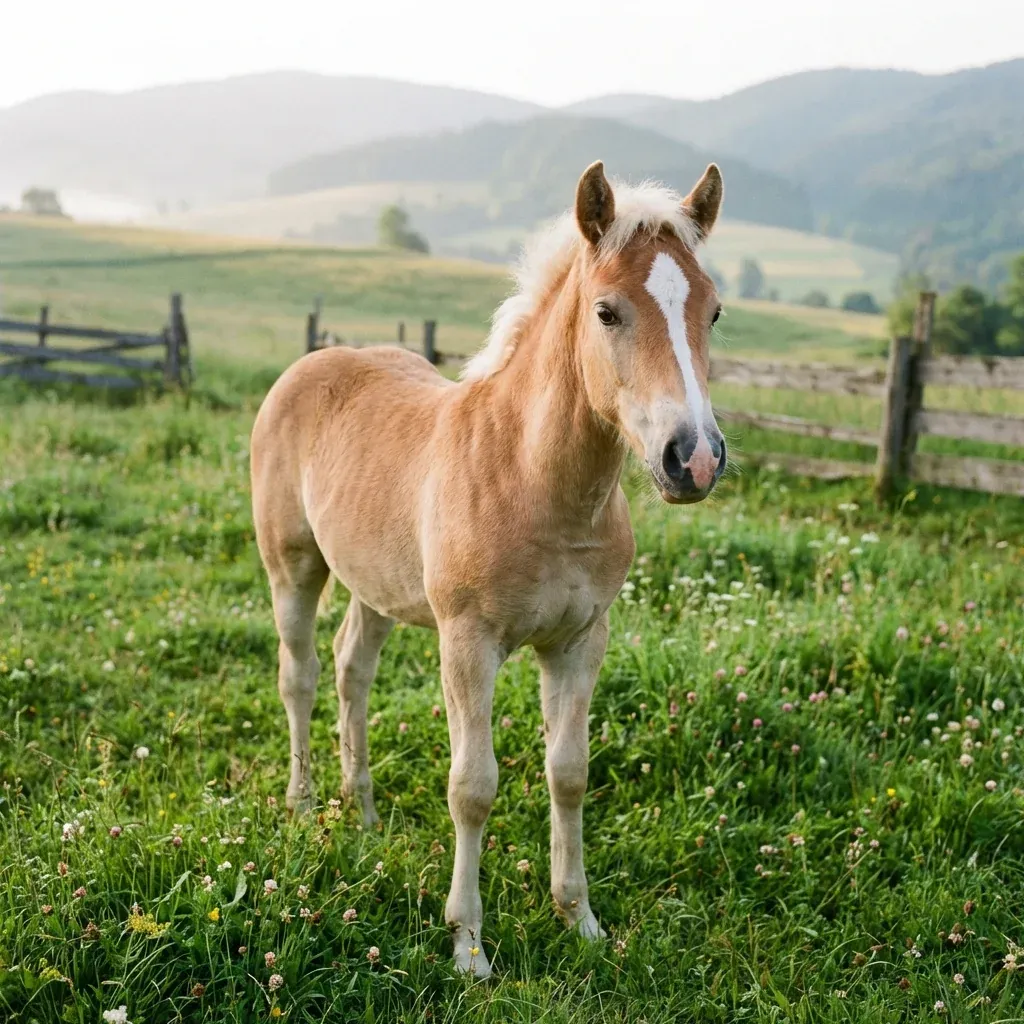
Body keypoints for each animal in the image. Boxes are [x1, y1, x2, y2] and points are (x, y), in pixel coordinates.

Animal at [250, 160, 727, 977]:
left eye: (716, 313)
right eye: (607, 312)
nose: (692, 459)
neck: (534, 482)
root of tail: (315, 361)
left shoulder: (579, 642)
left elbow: (569, 772)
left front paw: (580, 919)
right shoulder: (467, 642)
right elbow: (472, 787)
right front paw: (468, 946)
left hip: (375, 585)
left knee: (351, 669)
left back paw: (363, 814)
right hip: (294, 566)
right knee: (301, 675)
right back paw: (305, 805)